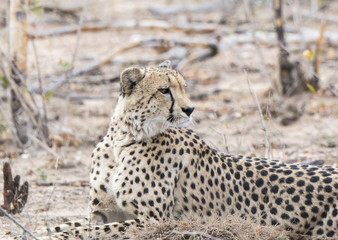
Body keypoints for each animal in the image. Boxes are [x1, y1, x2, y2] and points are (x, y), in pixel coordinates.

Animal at [39, 60, 336, 238]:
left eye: (183, 87)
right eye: (164, 90)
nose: (190, 108)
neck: (123, 141)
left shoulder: (154, 221)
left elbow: (96, 231)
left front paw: (58, 235)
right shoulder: (103, 212)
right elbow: (73, 223)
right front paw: (52, 231)